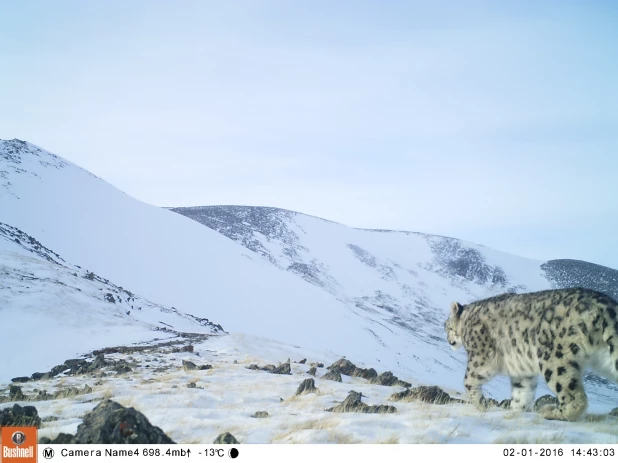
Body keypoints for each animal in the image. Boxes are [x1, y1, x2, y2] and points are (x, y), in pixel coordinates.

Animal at [442, 288, 616, 422]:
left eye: (447, 327)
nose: (449, 341)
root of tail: (604, 303)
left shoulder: (480, 357)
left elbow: (468, 380)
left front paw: (481, 405)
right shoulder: (522, 369)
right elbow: (522, 392)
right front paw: (515, 413)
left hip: (554, 359)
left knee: (575, 396)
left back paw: (551, 411)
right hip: (605, 358)